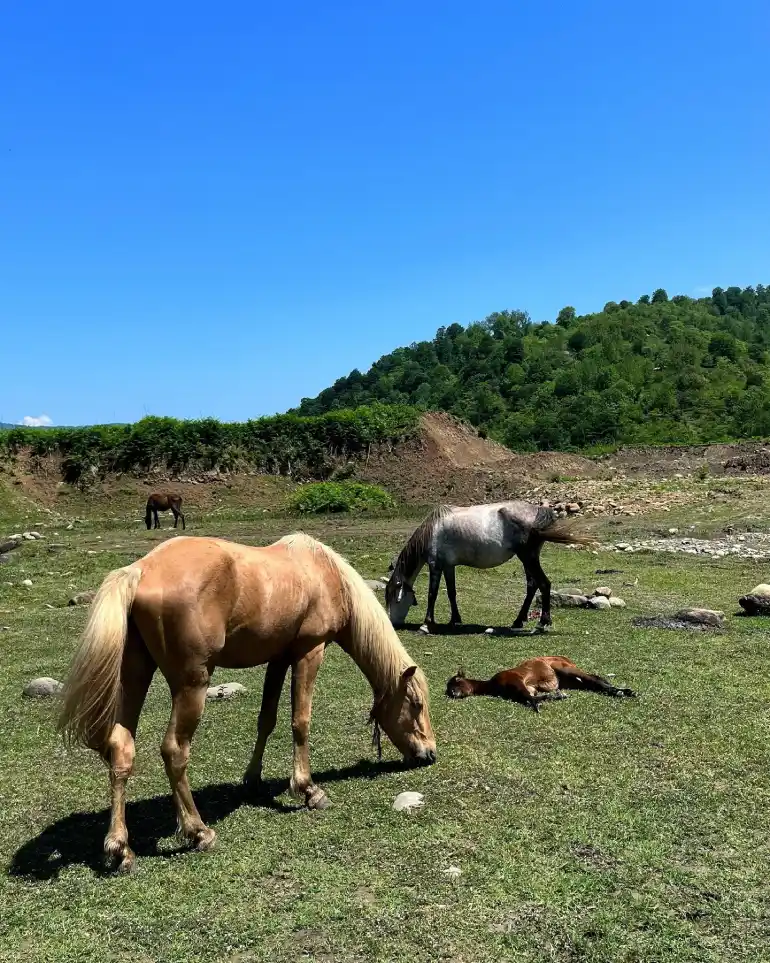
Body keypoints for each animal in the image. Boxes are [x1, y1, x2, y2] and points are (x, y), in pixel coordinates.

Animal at [57, 536, 436, 872]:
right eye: (415, 703)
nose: (429, 753)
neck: (323, 573)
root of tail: (141, 569)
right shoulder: (308, 652)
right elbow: (300, 720)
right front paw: (308, 789)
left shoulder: (278, 658)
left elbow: (266, 719)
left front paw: (253, 778)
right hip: (192, 685)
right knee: (174, 751)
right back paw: (198, 831)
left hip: (135, 675)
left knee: (121, 749)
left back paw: (121, 848)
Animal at [388, 504, 596, 632]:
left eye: (393, 598)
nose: (392, 623)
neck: (434, 529)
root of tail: (538, 511)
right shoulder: (448, 567)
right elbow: (451, 593)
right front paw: (455, 620)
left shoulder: (435, 565)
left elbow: (433, 593)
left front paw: (426, 624)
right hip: (528, 559)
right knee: (532, 585)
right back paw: (518, 621)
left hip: (527, 557)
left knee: (544, 584)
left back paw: (543, 623)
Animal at [444, 660, 636, 712]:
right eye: (448, 688)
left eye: (456, 681)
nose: (453, 693)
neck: (492, 685)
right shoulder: (525, 689)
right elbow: (535, 696)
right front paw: (557, 696)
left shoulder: (516, 681)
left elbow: (530, 698)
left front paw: (539, 706)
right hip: (571, 680)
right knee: (594, 681)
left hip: (565, 668)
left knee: (595, 680)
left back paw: (624, 692)